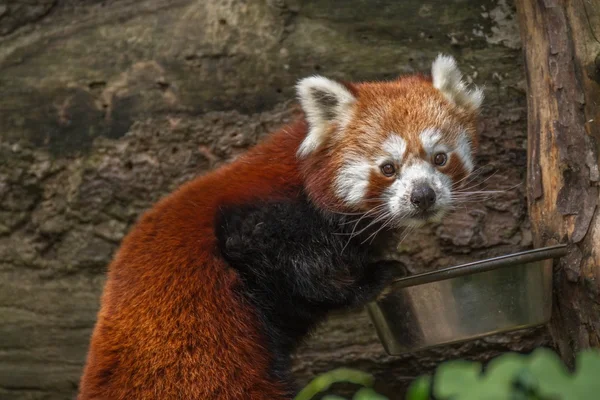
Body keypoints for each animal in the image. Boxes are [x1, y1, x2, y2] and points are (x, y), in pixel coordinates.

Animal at [78, 54, 482, 398]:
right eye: (388, 168)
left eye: (440, 158)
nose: (423, 196)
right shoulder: (261, 223)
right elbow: (300, 268)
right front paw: (372, 279)